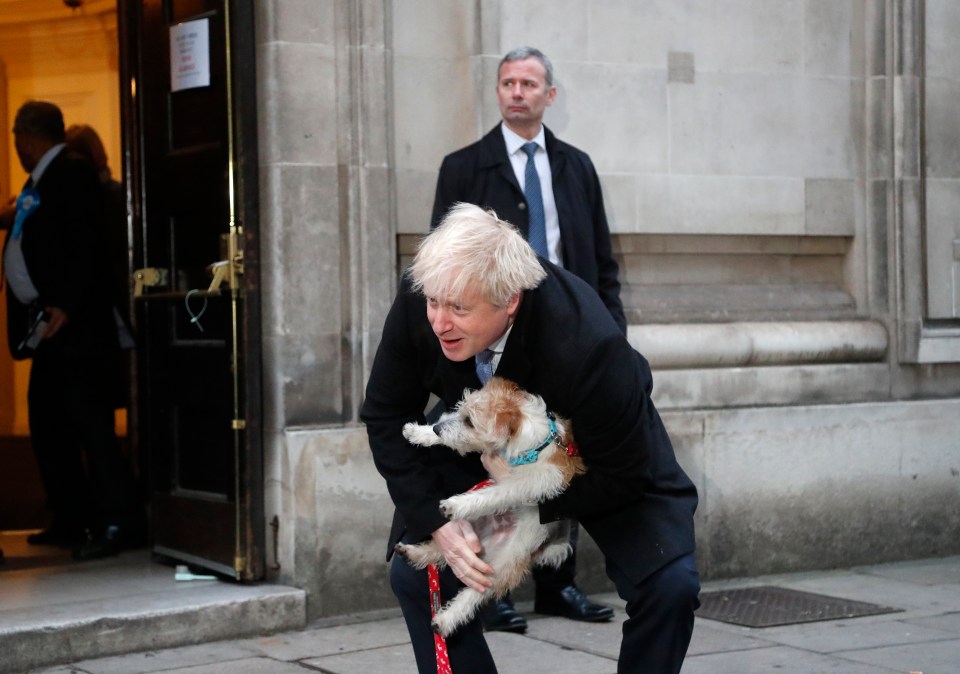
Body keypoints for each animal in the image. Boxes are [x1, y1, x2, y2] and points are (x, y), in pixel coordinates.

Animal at [396, 378, 584, 636]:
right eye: (460, 408)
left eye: (470, 421)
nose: (436, 429)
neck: (532, 442)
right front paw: (419, 432)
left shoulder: (536, 479)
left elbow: (496, 493)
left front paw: (456, 504)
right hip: (471, 531)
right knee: (441, 549)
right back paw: (413, 553)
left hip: (504, 564)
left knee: (476, 593)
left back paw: (445, 620)